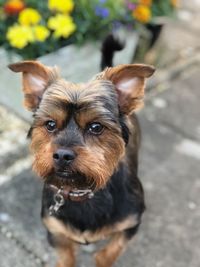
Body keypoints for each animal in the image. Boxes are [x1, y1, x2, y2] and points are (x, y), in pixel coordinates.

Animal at [9, 56, 155, 267]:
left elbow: (108, 253)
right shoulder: (56, 231)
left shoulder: (130, 224)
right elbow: (66, 257)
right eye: (50, 124)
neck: (82, 190)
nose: (62, 155)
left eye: (96, 127)